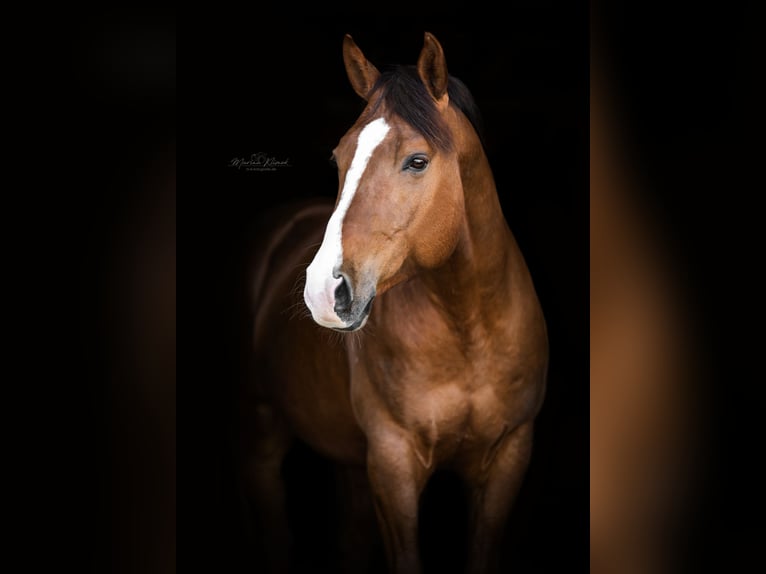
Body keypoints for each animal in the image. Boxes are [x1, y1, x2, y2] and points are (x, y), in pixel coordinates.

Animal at [241, 32, 548, 574]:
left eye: (417, 161)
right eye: (339, 158)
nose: (324, 291)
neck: (469, 327)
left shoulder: (509, 457)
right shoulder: (393, 462)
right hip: (265, 429)